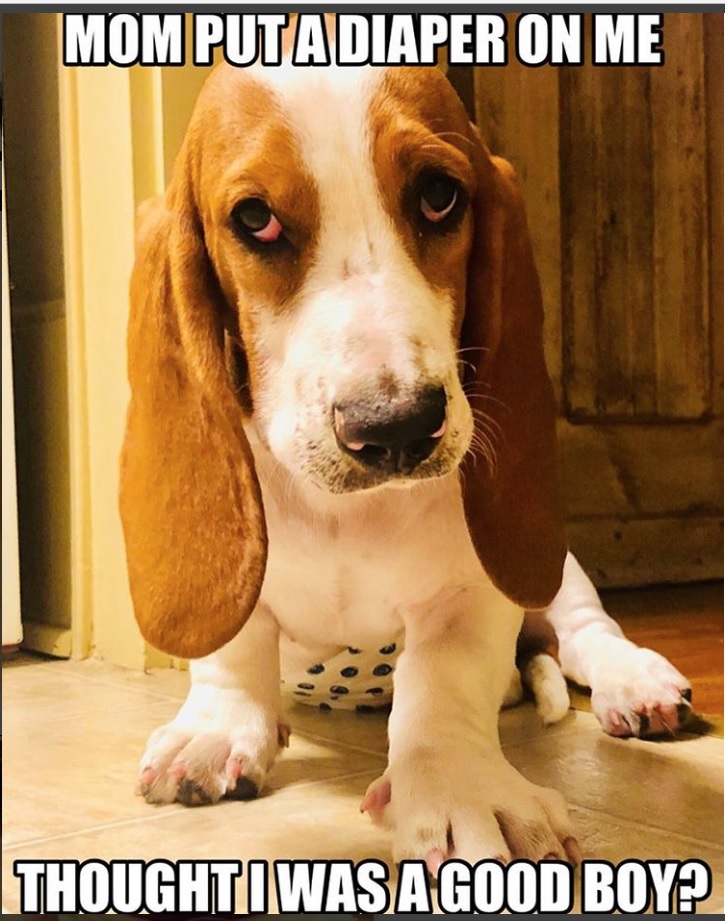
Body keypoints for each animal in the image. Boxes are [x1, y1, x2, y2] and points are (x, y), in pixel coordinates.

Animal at [119, 57, 692, 868]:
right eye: (255, 218)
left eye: (437, 195)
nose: (395, 428)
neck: (345, 515)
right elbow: (235, 643)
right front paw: (216, 730)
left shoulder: (476, 586)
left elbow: (439, 683)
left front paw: (457, 789)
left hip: (554, 561)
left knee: (582, 629)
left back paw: (633, 681)